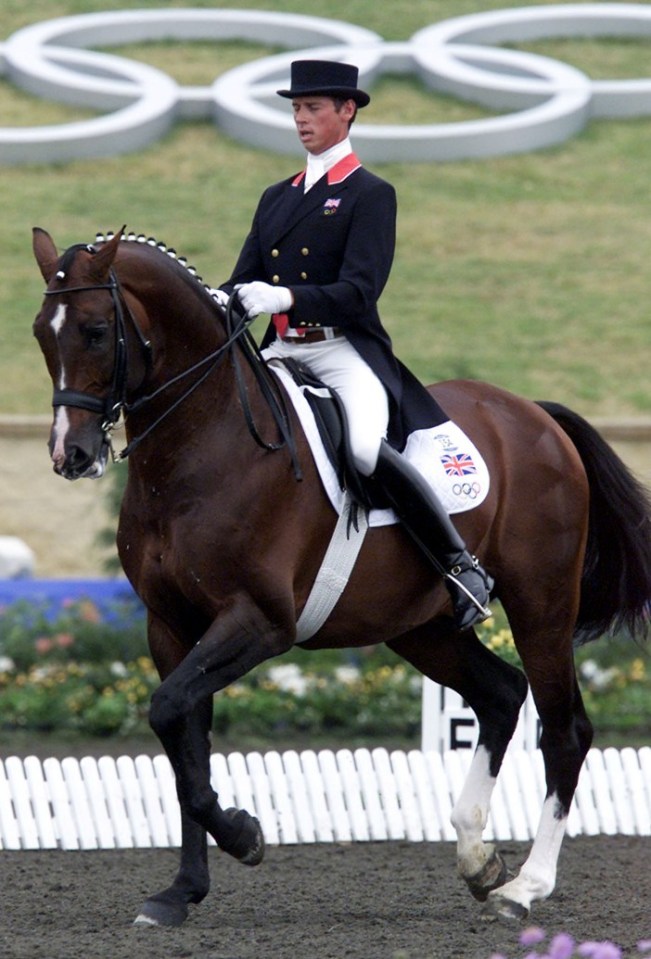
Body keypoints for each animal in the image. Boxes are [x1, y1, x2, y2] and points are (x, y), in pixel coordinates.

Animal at [31, 227, 651, 928]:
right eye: (42, 334)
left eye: (95, 331)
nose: (71, 455)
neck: (202, 450)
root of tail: (533, 415)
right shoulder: (171, 627)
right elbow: (183, 741)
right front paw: (181, 891)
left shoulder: (260, 622)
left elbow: (171, 716)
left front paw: (245, 835)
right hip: (421, 627)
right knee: (500, 695)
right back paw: (478, 859)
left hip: (541, 601)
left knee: (565, 728)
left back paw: (525, 887)